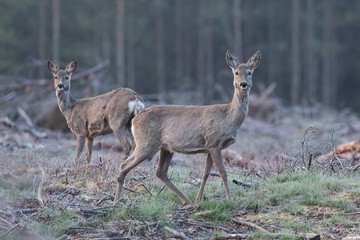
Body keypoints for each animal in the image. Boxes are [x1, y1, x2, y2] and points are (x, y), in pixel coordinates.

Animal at [114, 49, 262, 203]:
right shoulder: (214, 142)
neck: (229, 117)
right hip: (146, 143)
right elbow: (223, 173)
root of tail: (134, 119)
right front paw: (229, 199)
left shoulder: (210, 146)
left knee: (160, 172)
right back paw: (116, 201)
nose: (243, 84)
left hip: (165, 147)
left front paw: (199, 198)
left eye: (250, 72)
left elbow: (205, 174)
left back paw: (188, 201)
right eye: (236, 72)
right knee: (124, 165)